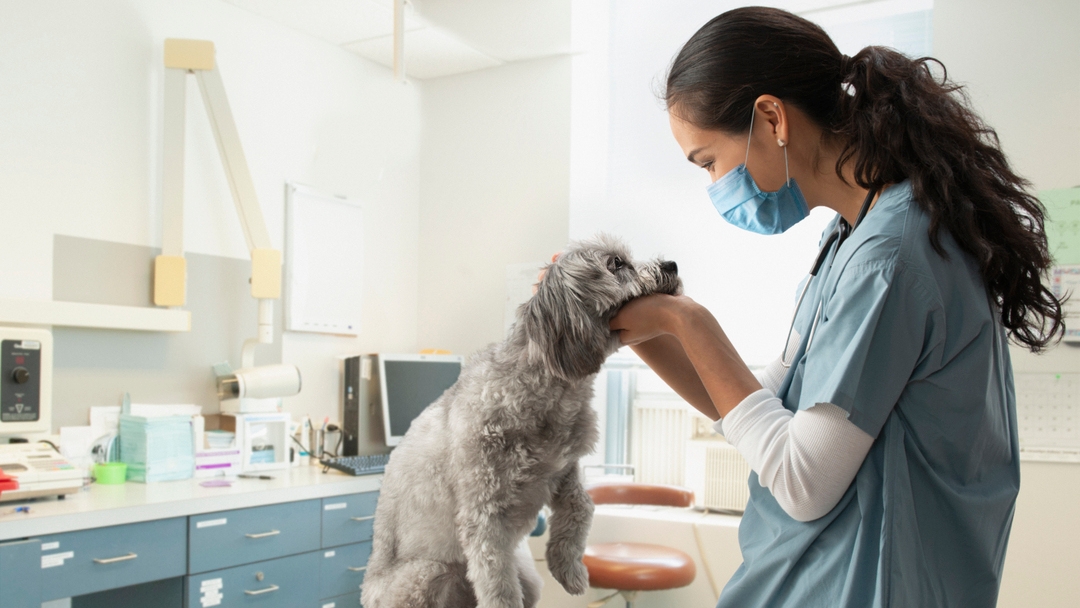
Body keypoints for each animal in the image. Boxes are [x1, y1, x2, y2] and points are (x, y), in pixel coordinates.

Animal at [362, 236, 682, 608]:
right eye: (616, 263)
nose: (673, 265)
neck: (548, 387)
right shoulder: (485, 517)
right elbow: (498, 585)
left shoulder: (563, 471)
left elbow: (582, 507)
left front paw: (567, 567)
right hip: (424, 574)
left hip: (526, 578)